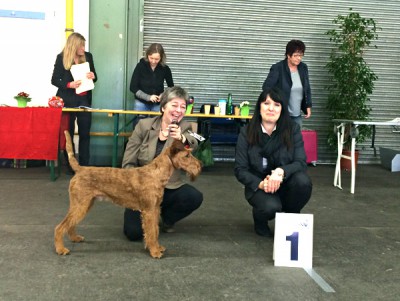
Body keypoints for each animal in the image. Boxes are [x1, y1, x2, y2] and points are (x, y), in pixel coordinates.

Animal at [54, 130, 202, 256]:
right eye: (187, 156)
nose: (200, 166)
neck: (157, 174)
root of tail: (80, 169)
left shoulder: (155, 209)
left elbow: (155, 230)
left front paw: (158, 247)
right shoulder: (149, 210)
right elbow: (151, 231)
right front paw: (154, 252)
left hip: (85, 204)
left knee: (70, 223)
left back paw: (75, 238)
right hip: (80, 204)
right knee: (60, 226)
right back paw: (61, 249)